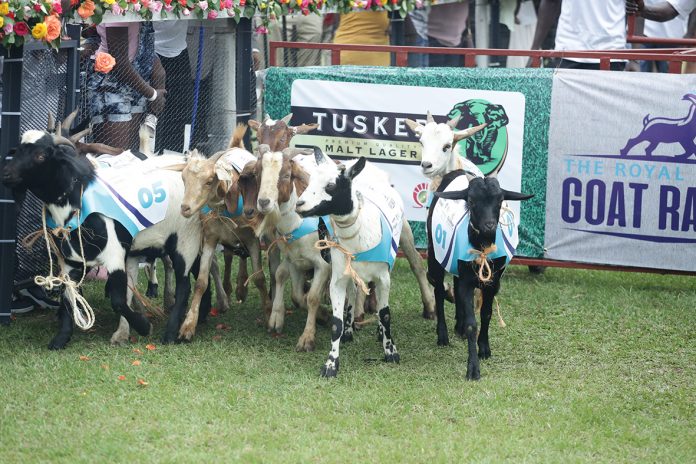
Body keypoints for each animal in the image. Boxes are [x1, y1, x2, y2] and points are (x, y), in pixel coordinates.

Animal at [2, 130, 204, 348]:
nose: (6, 174)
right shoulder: (69, 262)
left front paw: (144, 327)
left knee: (184, 285)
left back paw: (171, 332)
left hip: (186, 240)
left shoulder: (114, 255)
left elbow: (118, 301)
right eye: (17, 151)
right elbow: (69, 297)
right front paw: (61, 338)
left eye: (40, 156)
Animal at [424, 171, 532, 380]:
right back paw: (443, 335)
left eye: (500, 200)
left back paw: (458, 327)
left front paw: (484, 349)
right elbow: (472, 324)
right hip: (435, 256)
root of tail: (455, 172)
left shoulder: (493, 282)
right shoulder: (467, 282)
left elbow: (486, 314)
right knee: (439, 292)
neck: (483, 248)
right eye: (472, 201)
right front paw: (473, 369)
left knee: (454, 285)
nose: (489, 225)